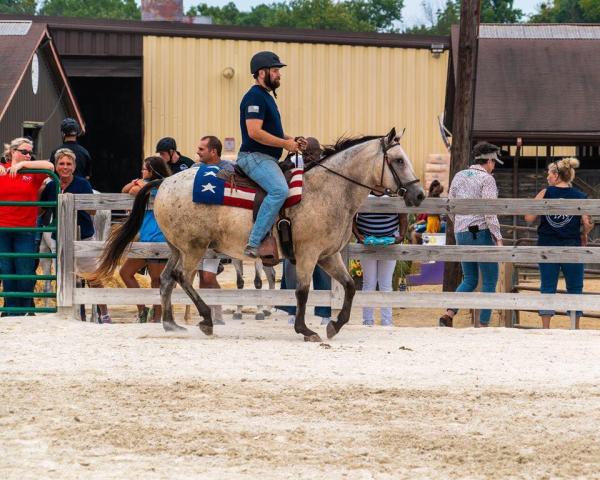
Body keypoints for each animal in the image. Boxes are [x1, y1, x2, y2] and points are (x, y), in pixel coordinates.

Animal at [91, 127, 424, 342]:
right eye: (398, 160)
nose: (419, 195)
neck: (326, 190)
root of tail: (165, 181)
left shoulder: (328, 256)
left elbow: (350, 288)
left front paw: (334, 325)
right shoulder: (308, 254)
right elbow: (302, 291)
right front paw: (306, 330)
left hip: (178, 247)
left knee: (166, 280)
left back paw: (172, 324)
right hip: (194, 248)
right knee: (181, 277)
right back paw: (206, 319)